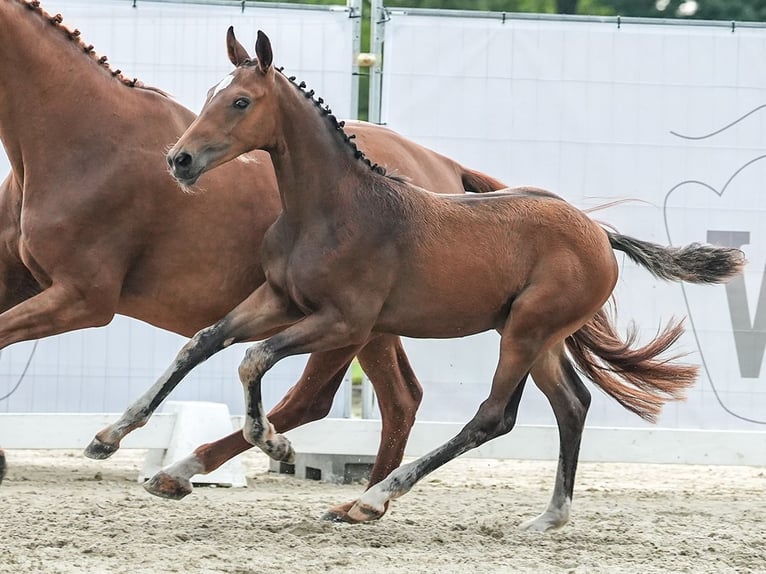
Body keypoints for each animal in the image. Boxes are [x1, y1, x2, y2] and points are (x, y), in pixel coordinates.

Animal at [0, 2, 510, 490]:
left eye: (240, 101)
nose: (179, 161)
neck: (84, 139)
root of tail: (445, 166)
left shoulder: (82, 298)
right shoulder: (25, 282)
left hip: (355, 327)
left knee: (328, 400)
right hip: (377, 327)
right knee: (396, 399)